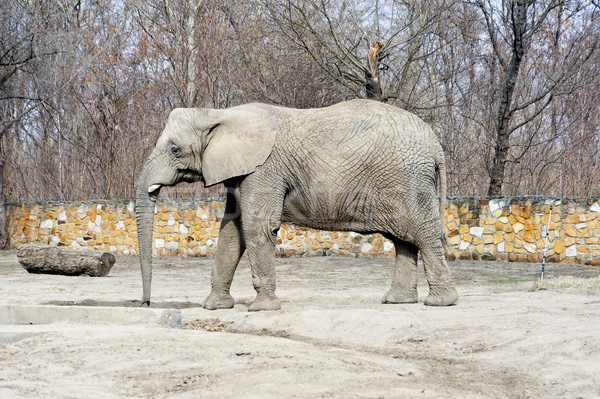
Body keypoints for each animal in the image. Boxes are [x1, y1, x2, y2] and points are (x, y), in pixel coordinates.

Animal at [134, 100, 458, 312]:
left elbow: (257, 226)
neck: (219, 113)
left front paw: (261, 309)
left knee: (422, 233)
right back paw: (396, 301)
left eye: (174, 149)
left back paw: (440, 303)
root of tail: (436, 144)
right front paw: (214, 307)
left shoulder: (264, 169)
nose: (146, 304)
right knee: (403, 238)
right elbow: (231, 231)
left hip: (407, 179)